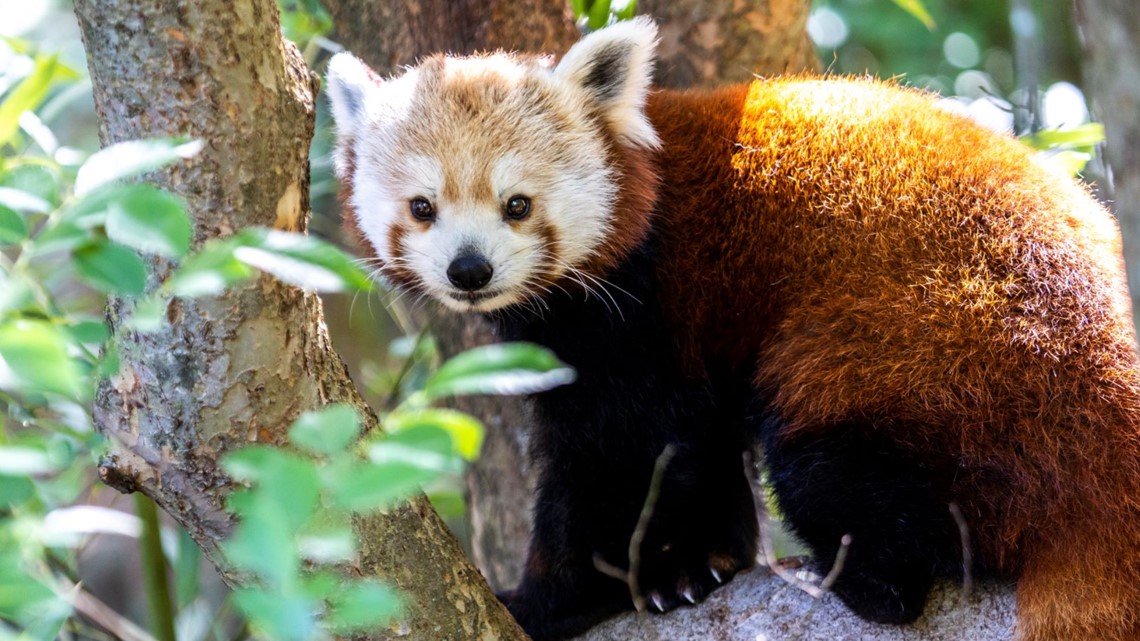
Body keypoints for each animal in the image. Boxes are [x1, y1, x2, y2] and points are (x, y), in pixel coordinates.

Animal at [326, 13, 1140, 638]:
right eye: (423, 207)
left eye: (517, 204)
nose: (469, 270)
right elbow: (695, 444)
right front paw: (700, 565)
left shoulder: (641, 305)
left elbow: (618, 459)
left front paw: (547, 599)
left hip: (933, 358)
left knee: (824, 460)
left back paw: (868, 580)